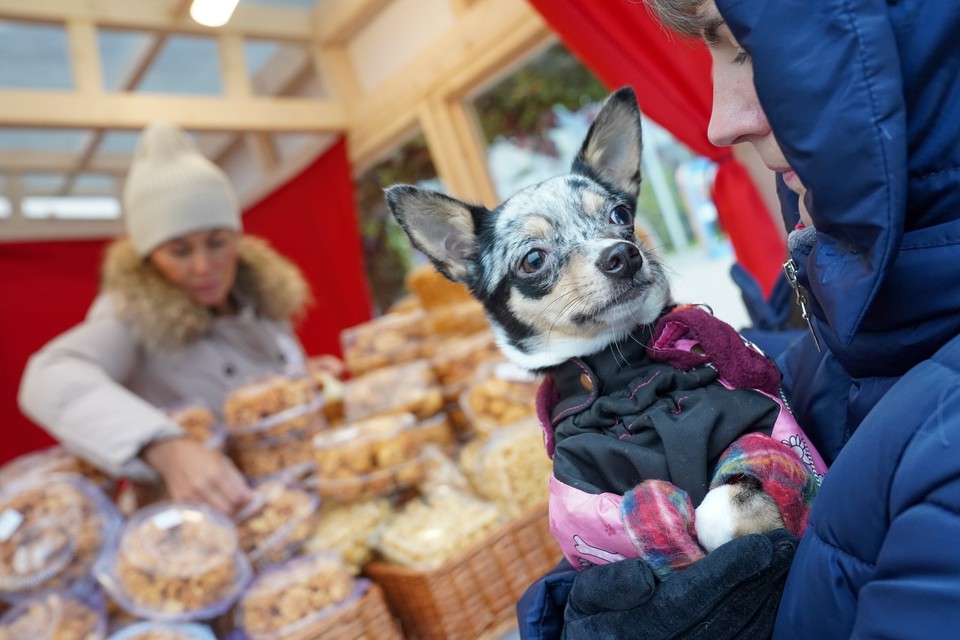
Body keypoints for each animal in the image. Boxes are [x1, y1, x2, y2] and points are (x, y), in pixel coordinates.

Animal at [386, 87, 820, 572]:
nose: (623, 254)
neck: (624, 375)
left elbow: (728, 494)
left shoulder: (759, 426)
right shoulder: (584, 495)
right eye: (532, 259)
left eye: (619, 215)